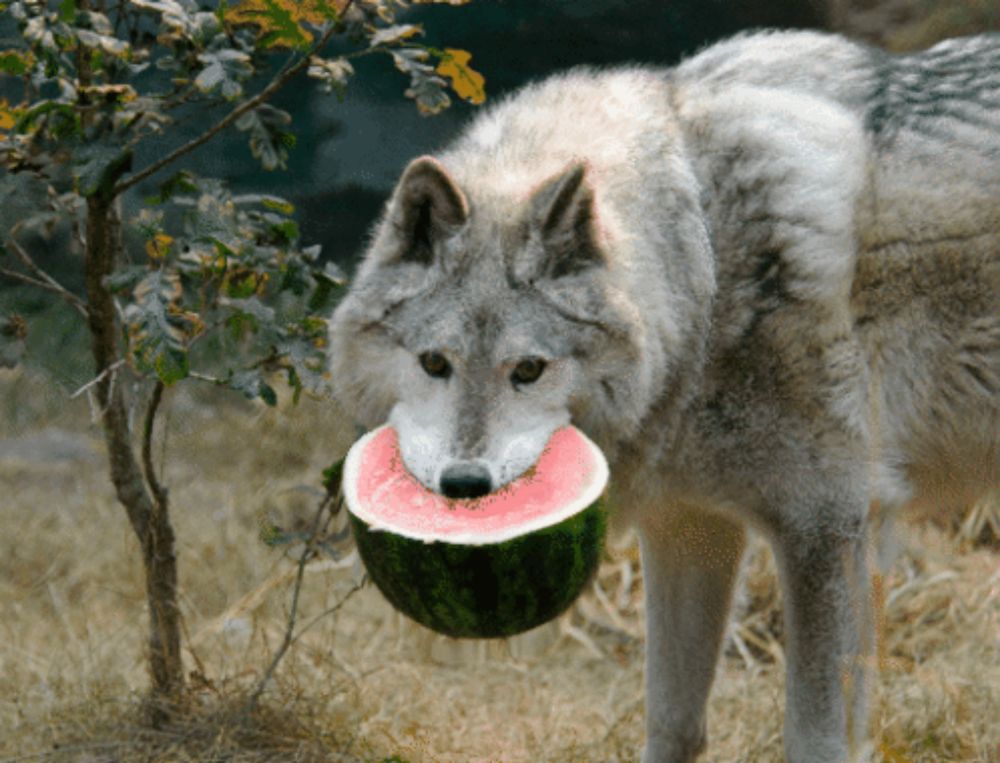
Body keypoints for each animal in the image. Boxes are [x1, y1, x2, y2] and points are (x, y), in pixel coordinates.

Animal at [328, 29, 1000, 763]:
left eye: (529, 369)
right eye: (434, 363)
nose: (465, 486)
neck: (703, 264)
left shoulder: (828, 525)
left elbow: (817, 738)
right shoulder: (689, 525)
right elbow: (672, 721)